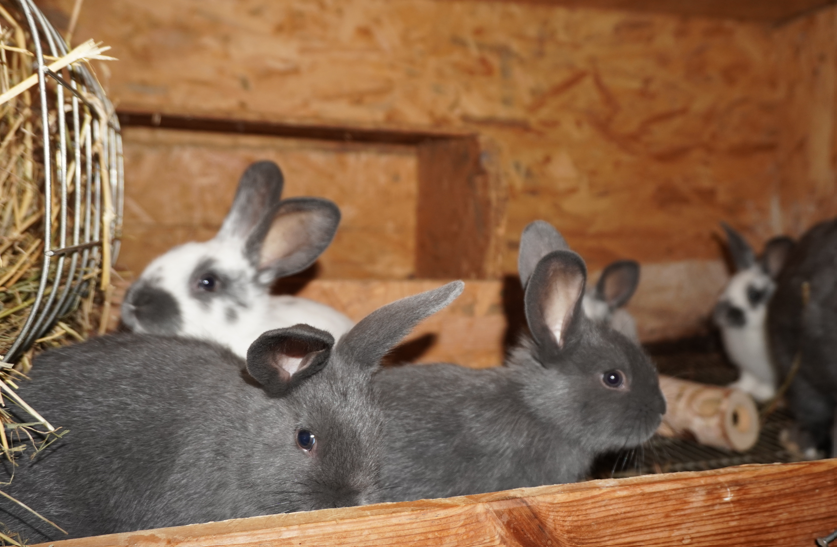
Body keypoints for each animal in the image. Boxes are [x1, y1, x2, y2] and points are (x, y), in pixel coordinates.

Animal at [713, 223, 795, 402]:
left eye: (754, 295)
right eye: (726, 287)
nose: (721, 315)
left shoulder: (772, 370)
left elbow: (769, 385)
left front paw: (761, 394)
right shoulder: (747, 368)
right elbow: (747, 379)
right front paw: (737, 387)